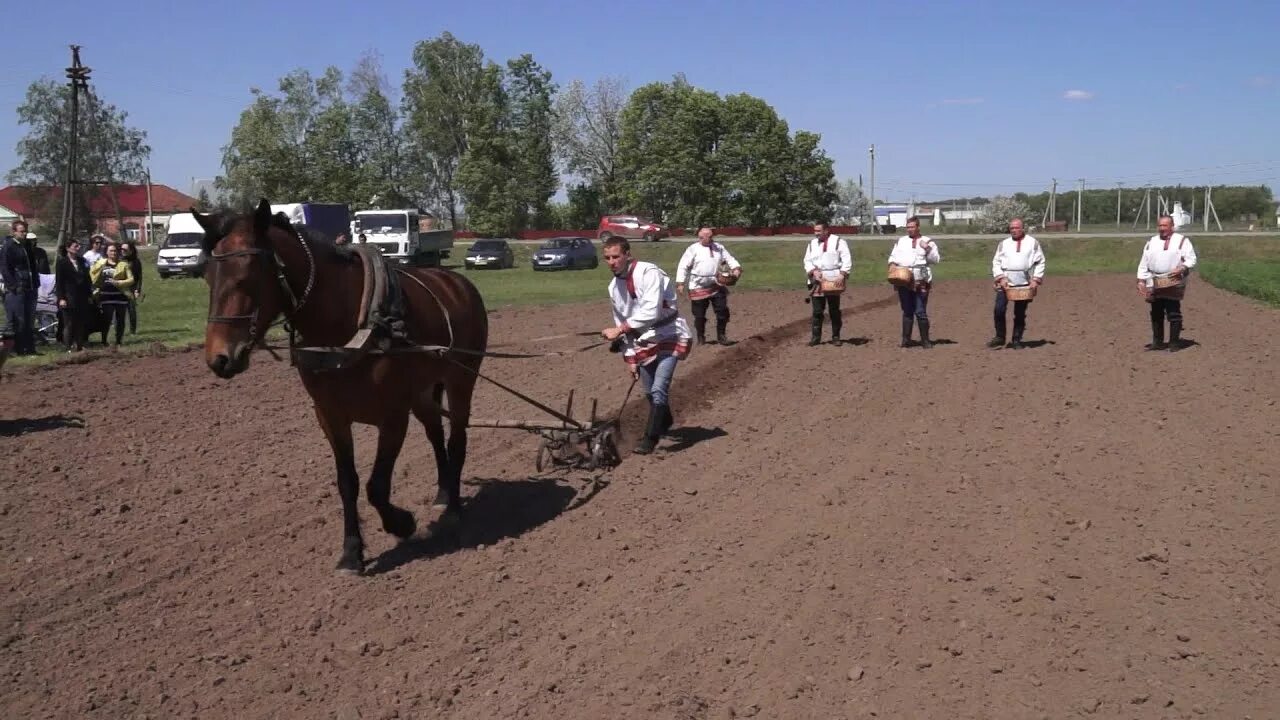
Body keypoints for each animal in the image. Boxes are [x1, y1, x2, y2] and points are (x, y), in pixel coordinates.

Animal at [192, 198, 486, 573]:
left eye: (248, 274)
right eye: (206, 276)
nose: (219, 358)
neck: (346, 326)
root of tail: (458, 282)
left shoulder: (393, 416)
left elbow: (377, 486)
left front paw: (402, 523)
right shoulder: (330, 416)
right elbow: (348, 483)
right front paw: (351, 552)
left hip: (462, 380)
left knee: (456, 440)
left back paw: (453, 511)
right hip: (422, 393)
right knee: (436, 435)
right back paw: (443, 495)